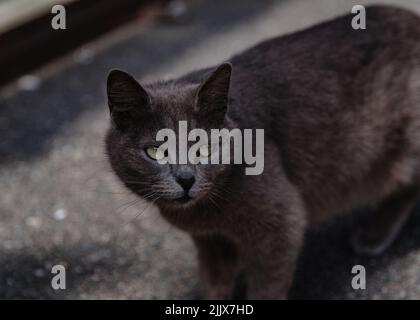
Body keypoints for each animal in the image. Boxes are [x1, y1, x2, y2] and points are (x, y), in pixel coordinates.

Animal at [106, 6, 420, 298]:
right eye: (155, 152)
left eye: (206, 148)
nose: (186, 179)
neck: (204, 214)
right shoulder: (212, 242)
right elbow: (213, 285)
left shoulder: (280, 225)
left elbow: (267, 286)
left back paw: (373, 235)